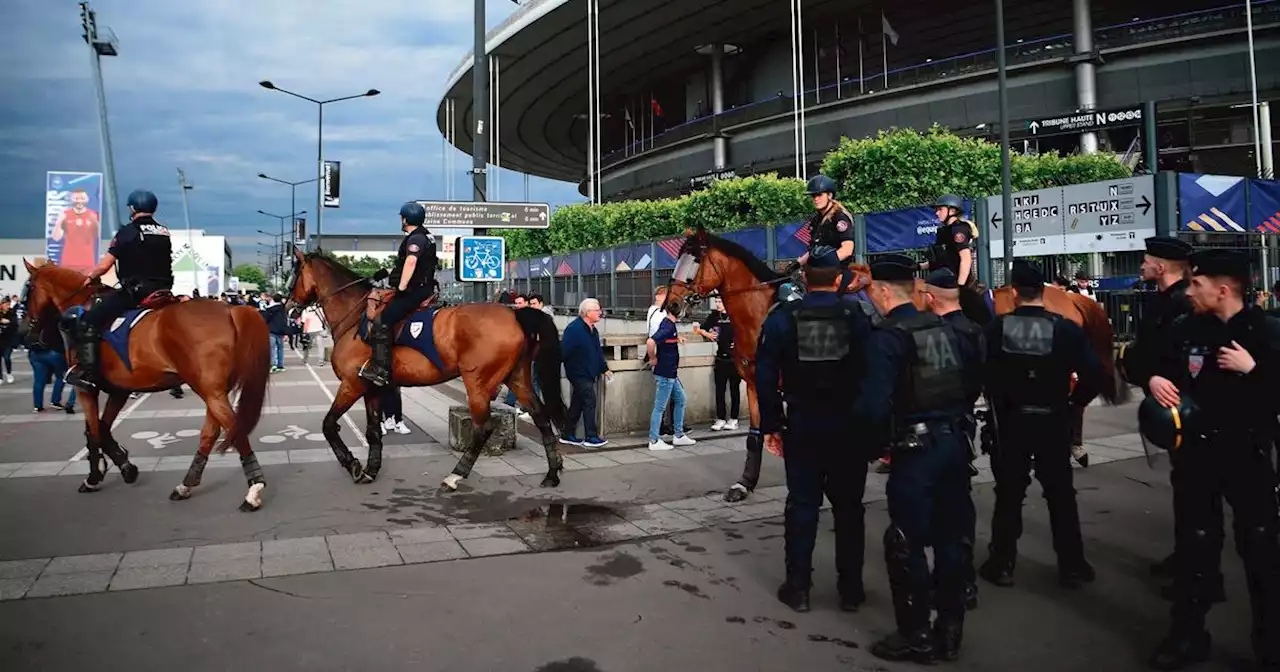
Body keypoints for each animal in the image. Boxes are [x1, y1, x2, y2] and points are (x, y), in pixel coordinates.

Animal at [23, 261, 272, 509]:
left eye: (29, 290)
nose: (27, 333)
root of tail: (230, 310)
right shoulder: (119, 390)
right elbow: (103, 428)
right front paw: (125, 466)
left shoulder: (86, 388)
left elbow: (93, 431)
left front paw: (94, 477)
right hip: (213, 391)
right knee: (211, 433)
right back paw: (186, 485)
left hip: (210, 391)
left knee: (233, 429)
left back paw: (253, 490)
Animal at [293, 248, 573, 488]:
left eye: (295, 273)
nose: (290, 305)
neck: (355, 316)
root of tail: (514, 313)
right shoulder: (371, 388)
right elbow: (372, 432)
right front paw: (370, 469)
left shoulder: (351, 384)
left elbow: (329, 425)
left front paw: (352, 464)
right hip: (517, 378)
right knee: (541, 417)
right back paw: (552, 473)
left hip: (479, 383)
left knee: (483, 428)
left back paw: (456, 475)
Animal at [670, 227, 1131, 499]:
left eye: (692, 262)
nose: (672, 304)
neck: (765, 308)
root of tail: (1065, 294)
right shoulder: (755, 382)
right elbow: (756, 434)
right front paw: (745, 483)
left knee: (1068, 399)